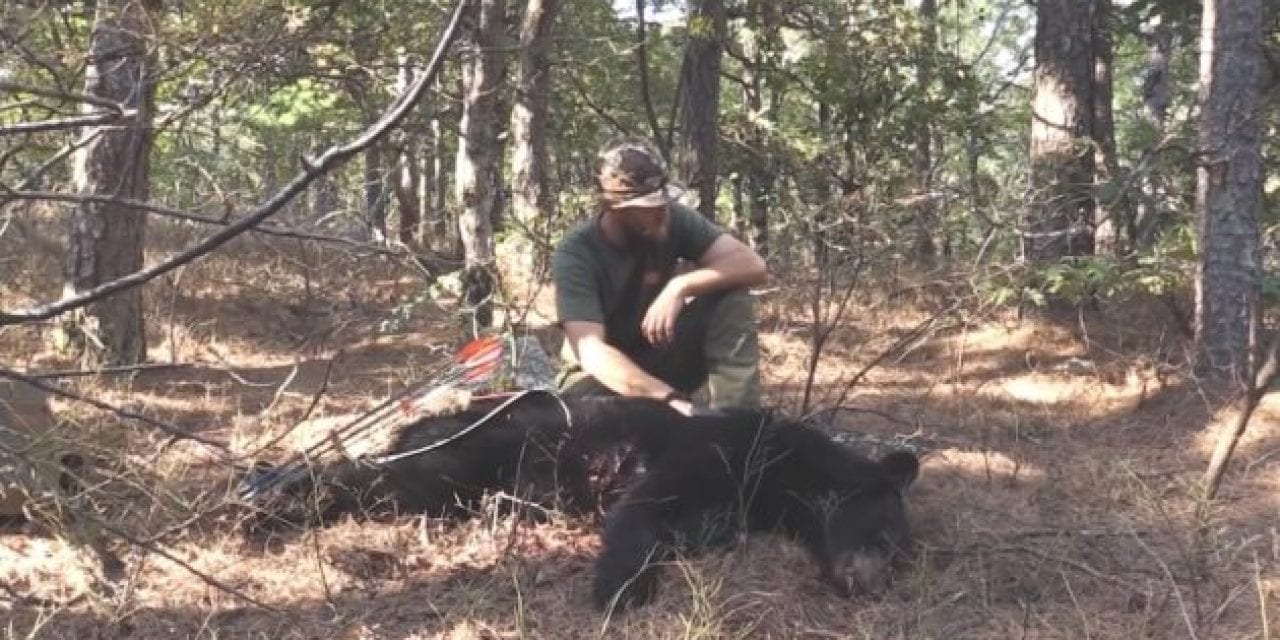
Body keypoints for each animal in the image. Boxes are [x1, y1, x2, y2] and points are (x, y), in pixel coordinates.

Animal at [588, 407, 921, 611]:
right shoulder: (713, 451)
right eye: (884, 540)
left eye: (898, 566)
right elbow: (642, 506)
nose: (873, 590)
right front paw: (622, 589)